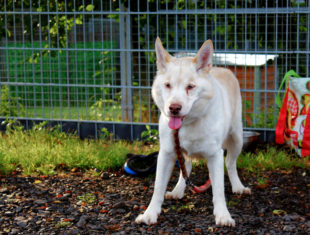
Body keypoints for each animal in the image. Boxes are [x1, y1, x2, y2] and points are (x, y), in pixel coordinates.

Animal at [135, 37, 249, 227]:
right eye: (168, 85)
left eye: (190, 87)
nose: (174, 108)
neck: (187, 124)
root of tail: (221, 68)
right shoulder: (166, 152)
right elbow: (158, 187)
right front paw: (150, 214)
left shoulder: (215, 155)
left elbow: (218, 190)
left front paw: (223, 215)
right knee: (186, 167)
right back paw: (178, 190)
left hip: (237, 138)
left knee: (230, 163)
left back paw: (238, 186)